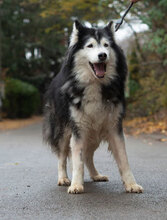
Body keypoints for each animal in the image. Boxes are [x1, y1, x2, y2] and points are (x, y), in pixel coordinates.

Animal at [42, 19, 143, 193]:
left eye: (106, 45)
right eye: (90, 46)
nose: (102, 55)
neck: (95, 84)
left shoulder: (114, 127)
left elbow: (123, 159)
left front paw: (131, 184)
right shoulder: (78, 129)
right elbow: (77, 160)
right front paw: (76, 184)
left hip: (94, 133)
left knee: (88, 156)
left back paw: (95, 175)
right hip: (64, 131)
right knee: (62, 156)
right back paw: (63, 178)